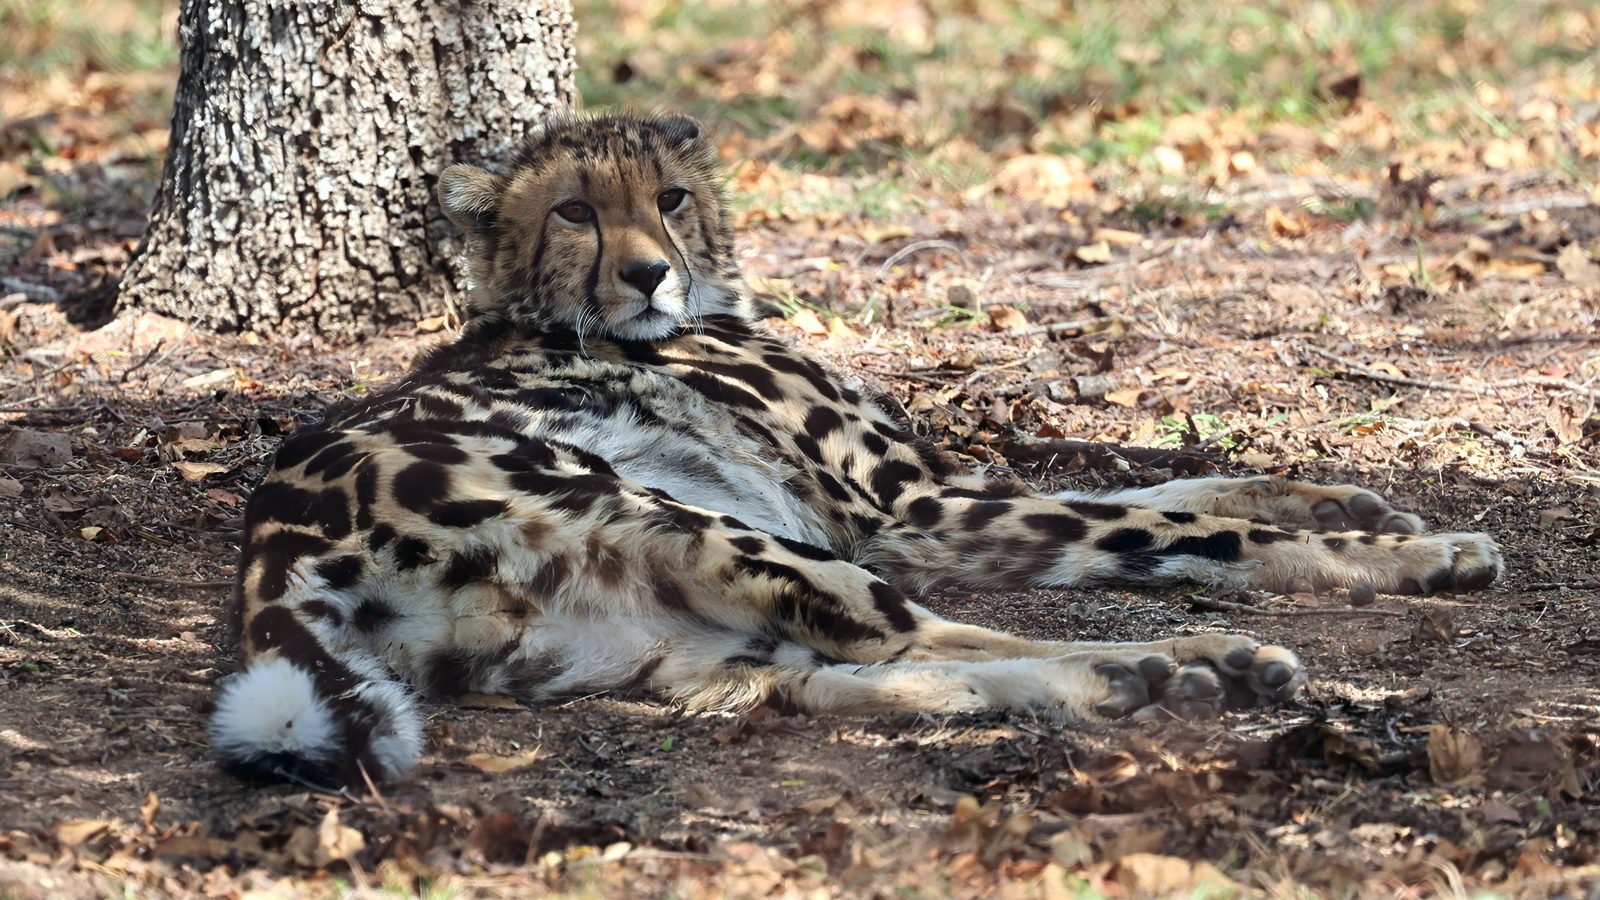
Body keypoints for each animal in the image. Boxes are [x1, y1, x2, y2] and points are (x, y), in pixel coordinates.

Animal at [211, 112, 1503, 787]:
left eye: (670, 197)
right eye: (574, 211)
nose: (649, 274)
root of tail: (273, 539)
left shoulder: (939, 489)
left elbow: (1178, 483)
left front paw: (1354, 504)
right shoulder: (906, 517)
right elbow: (1183, 524)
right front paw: (1416, 556)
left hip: (638, 635)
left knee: (818, 684)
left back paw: (1145, 675)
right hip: (677, 521)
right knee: (905, 636)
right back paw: (1176, 662)